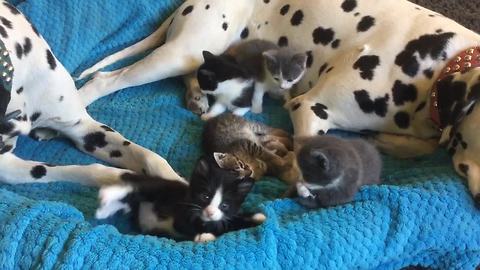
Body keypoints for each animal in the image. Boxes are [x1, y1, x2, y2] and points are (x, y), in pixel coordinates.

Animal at [77, 0, 480, 205]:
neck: (440, 64)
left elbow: (423, 144)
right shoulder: (311, 109)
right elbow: (302, 166)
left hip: (201, 59)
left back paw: (198, 96)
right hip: (177, 55)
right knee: (105, 81)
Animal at [95, 155, 264, 242]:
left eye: (224, 205)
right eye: (205, 196)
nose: (210, 212)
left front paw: (256, 217)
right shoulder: (183, 208)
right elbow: (183, 224)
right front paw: (203, 234)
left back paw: (107, 209)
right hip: (163, 188)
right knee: (139, 188)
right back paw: (110, 195)